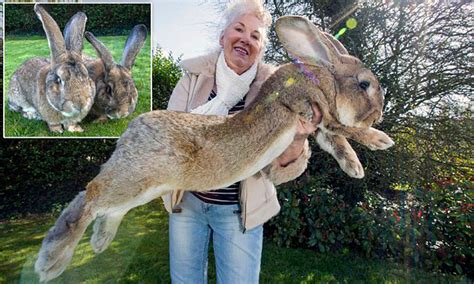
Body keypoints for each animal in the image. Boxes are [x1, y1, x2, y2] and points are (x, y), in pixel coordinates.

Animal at [6, 3, 94, 133]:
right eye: (59, 80)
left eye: (87, 76)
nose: (80, 104)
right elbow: (53, 124)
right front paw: (57, 130)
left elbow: (71, 124)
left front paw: (76, 129)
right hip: (17, 97)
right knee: (19, 109)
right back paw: (31, 115)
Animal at [35, 16, 394, 282]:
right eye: (364, 84)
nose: (379, 113)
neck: (322, 77)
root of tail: (129, 134)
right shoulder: (312, 108)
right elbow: (345, 129)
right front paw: (380, 140)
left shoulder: (318, 125)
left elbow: (336, 141)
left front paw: (355, 167)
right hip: (135, 178)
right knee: (91, 196)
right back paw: (51, 261)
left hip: (141, 188)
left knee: (104, 206)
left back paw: (98, 242)